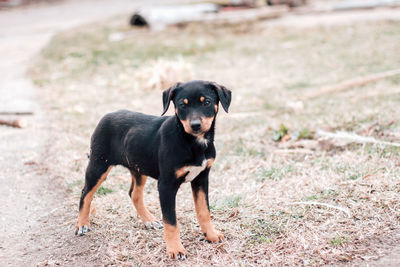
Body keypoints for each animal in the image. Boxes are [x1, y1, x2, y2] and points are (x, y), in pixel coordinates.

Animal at [75, 79, 231, 260]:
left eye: (206, 102)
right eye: (182, 105)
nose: (195, 125)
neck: (192, 141)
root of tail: (107, 116)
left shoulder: (201, 178)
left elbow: (204, 211)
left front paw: (211, 235)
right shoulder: (166, 185)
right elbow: (171, 221)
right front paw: (176, 249)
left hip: (137, 168)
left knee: (134, 194)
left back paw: (149, 221)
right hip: (99, 164)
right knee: (86, 193)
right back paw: (82, 224)